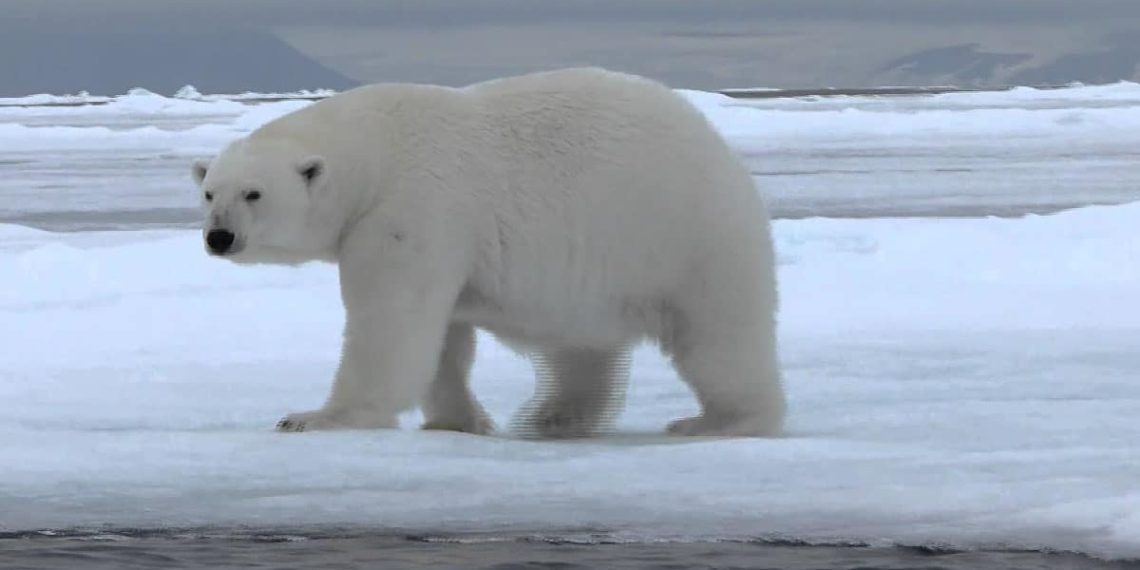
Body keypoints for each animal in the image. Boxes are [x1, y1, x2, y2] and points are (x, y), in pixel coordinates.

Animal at [191, 67, 785, 438]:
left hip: (688, 237)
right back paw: (551, 417)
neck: (376, 151)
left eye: (253, 193)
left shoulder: (411, 211)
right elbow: (443, 338)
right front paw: (458, 420)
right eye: (210, 192)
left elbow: (392, 324)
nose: (219, 237)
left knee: (719, 337)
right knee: (577, 347)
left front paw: (314, 416)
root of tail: (724, 154)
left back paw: (721, 420)